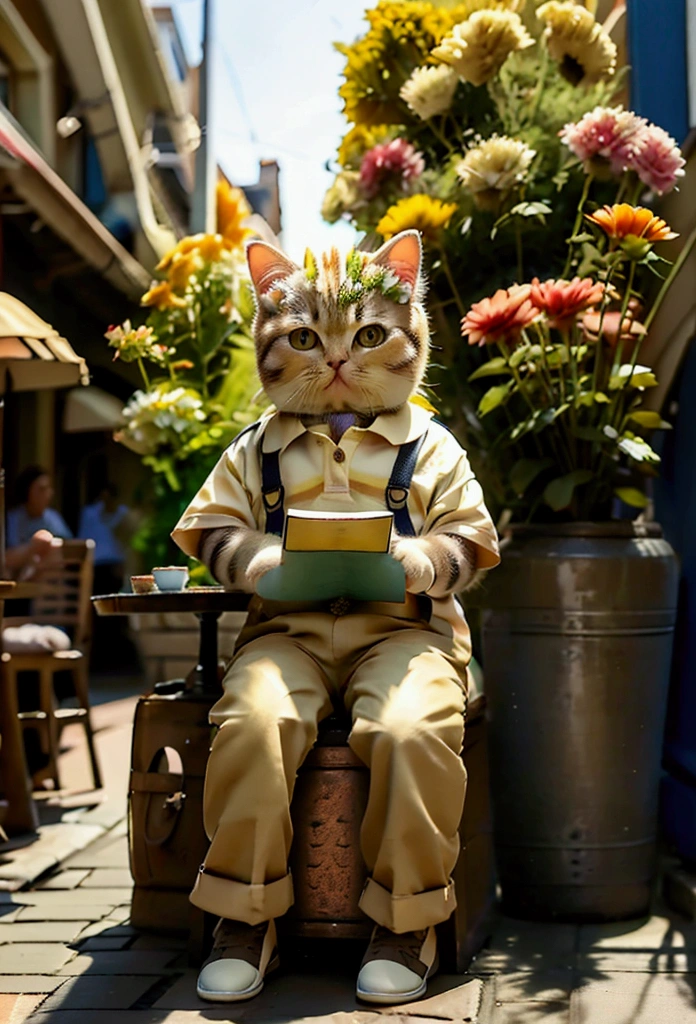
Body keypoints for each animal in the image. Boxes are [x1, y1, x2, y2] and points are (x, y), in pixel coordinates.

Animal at [198, 228, 474, 598]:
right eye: (303, 338)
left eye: (370, 335)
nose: (337, 360)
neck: (340, 422)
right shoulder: (219, 524)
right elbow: (232, 543)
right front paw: (272, 562)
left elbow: (451, 548)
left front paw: (407, 557)